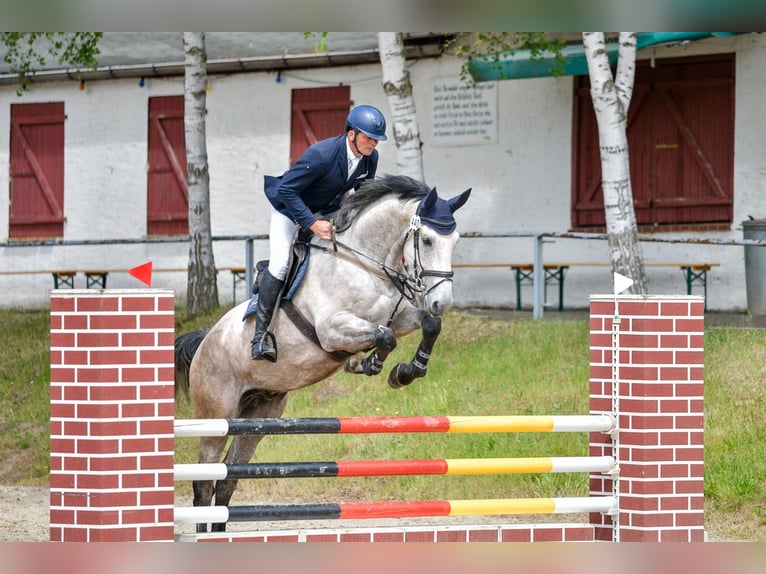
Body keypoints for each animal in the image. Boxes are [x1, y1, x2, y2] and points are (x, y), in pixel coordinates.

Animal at [176, 176, 472, 536]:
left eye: (455, 240)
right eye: (427, 240)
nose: (442, 301)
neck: (365, 264)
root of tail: (206, 340)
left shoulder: (397, 317)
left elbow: (427, 325)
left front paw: (403, 371)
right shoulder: (332, 329)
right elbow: (384, 336)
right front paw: (369, 363)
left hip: (258, 417)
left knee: (228, 480)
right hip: (216, 416)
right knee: (204, 481)